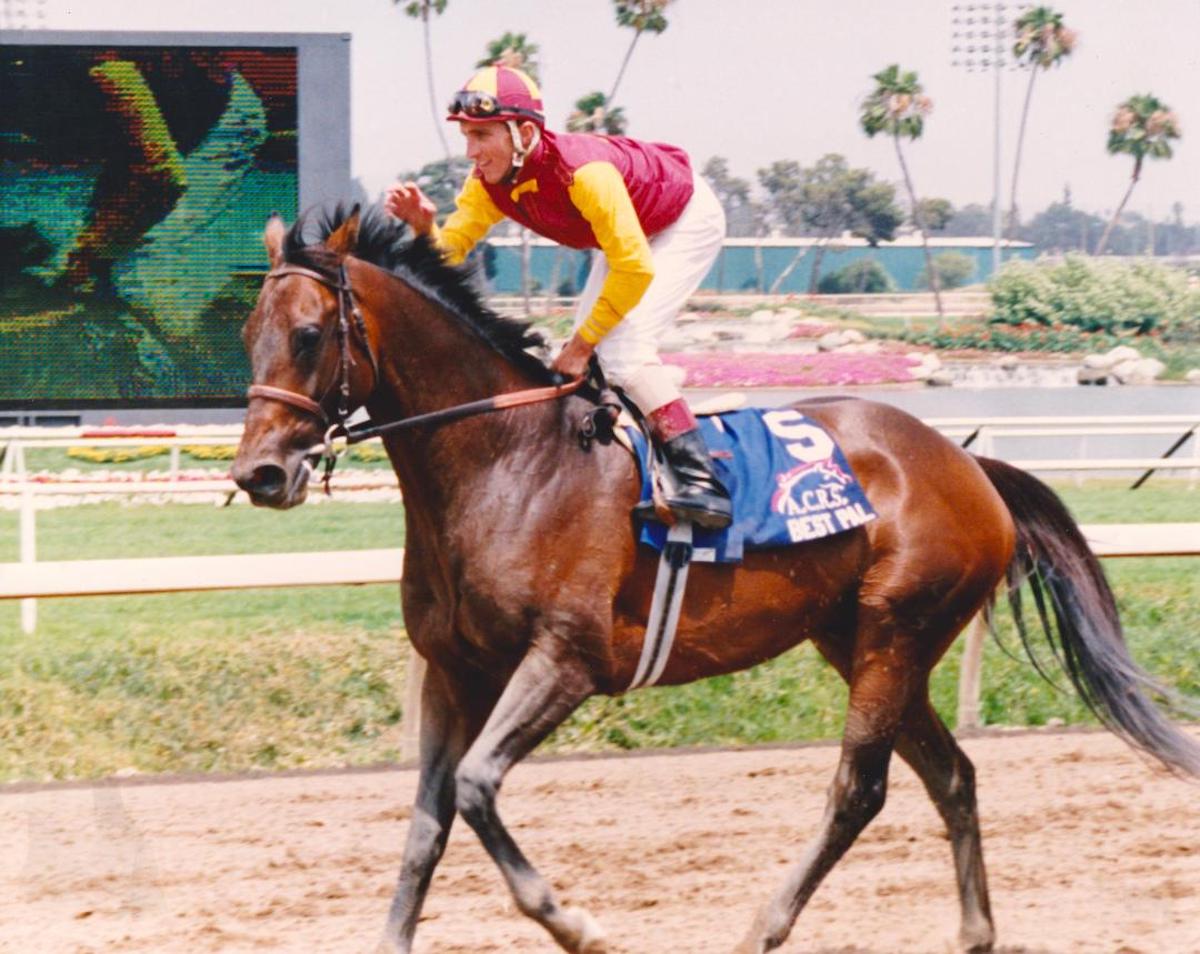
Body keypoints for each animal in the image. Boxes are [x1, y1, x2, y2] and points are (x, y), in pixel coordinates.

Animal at [229, 208, 1195, 954]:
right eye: (248, 335)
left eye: (309, 335)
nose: (259, 475)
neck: (507, 462)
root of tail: (968, 465)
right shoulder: (452, 670)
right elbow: (428, 822)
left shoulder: (566, 662)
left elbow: (472, 788)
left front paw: (579, 924)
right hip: (861, 641)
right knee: (951, 776)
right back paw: (974, 933)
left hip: (897, 632)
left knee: (859, 790)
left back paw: (764, 925)